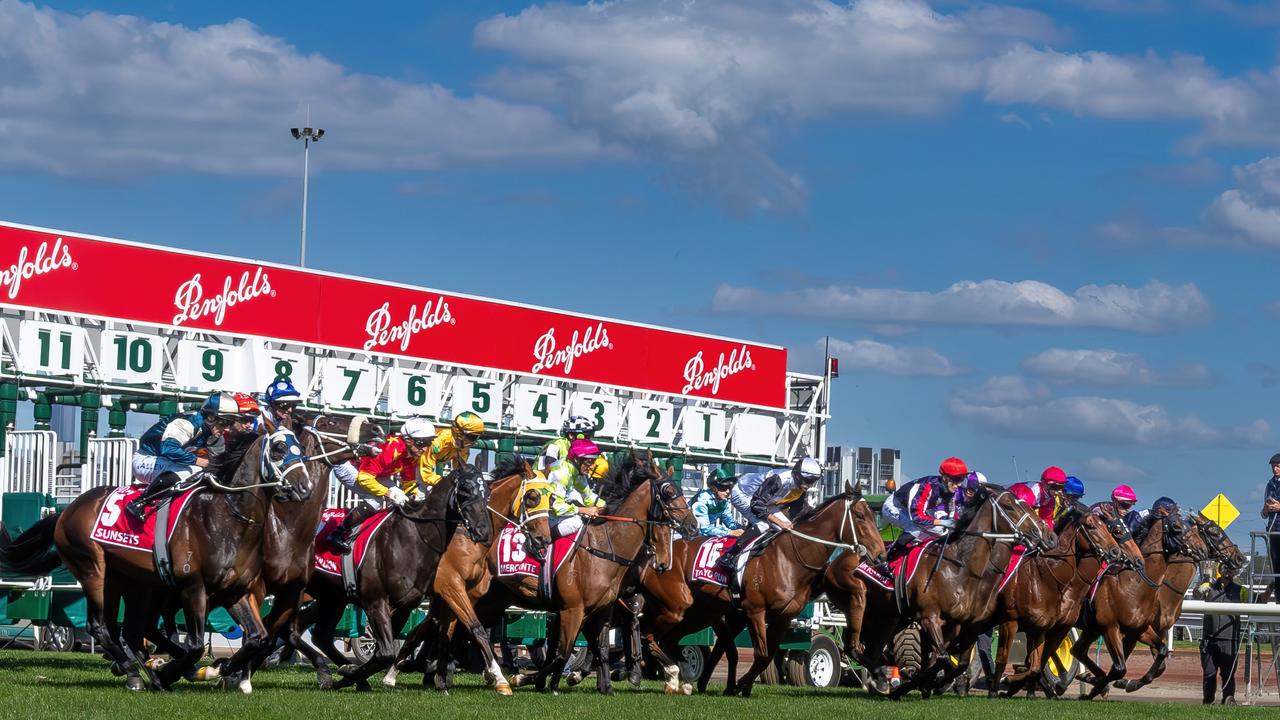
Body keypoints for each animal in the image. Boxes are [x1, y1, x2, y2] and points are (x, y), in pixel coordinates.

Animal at [0, 427, 309, 686]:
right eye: (280, 447)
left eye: (301, 448)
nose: (304, 487)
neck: (226, 518)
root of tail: (67, 510)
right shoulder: (193, 589)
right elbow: (196, 645)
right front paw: (180, 671)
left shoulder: (236, 591)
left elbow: (258, 638)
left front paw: (222, 668)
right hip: (93, 571)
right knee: (100, 627)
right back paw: (135, 674)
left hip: (132, 583)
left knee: (131, 631)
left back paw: (145, 670)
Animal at [302, 461, 491, 686]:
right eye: (465, 490)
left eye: (486, 491)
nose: (483, 531)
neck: (412, 539)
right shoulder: (376, 602)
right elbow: (385, 653)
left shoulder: (405, 605)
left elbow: (385, 652)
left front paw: (352, 675)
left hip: (331, 597)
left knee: (317, 634)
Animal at [988, 504, 1131, 696]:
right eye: (1091, 526)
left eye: (1107, 527)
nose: (1116, 551)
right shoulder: (1011, 622)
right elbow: (1005, 660)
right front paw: (1002, 686)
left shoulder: (1047, 626)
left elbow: (1035, 664)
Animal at [1075, 504, 1203, 696]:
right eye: (1176, 526)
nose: (1201, 548)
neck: (1135, 584)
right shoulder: (1110, 627)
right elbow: (1119, 668)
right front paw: (1100, 686)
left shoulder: (1139, 629)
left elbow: (1162, 650)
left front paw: (1133, 683)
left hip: (1091, 629)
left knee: (1077, 650)